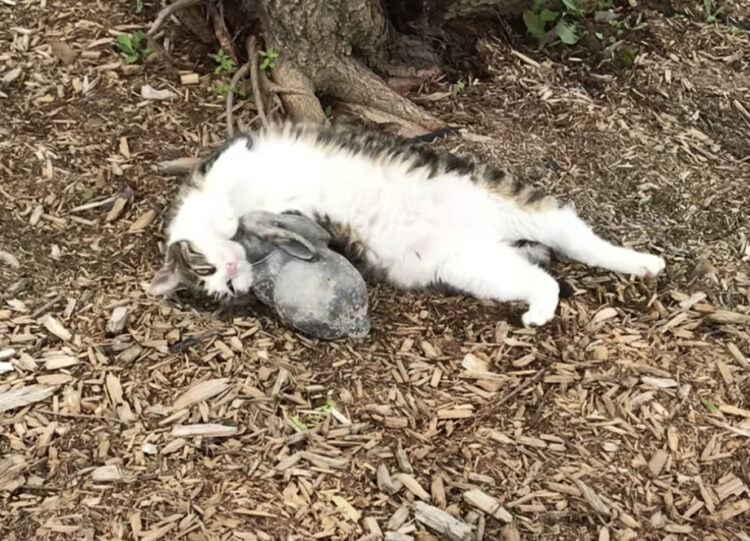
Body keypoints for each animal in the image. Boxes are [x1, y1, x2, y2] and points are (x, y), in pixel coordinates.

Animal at [149, 122, 665, 326]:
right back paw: (541, 308)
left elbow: (229, 194)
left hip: (517, 201)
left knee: (581, 240)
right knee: (543, 278)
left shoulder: (232, 154)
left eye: (206, 270)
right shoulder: (320, 232)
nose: (231, 274)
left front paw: (230, 219)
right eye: (225, 292)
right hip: (473, 266)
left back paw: (644, 262)